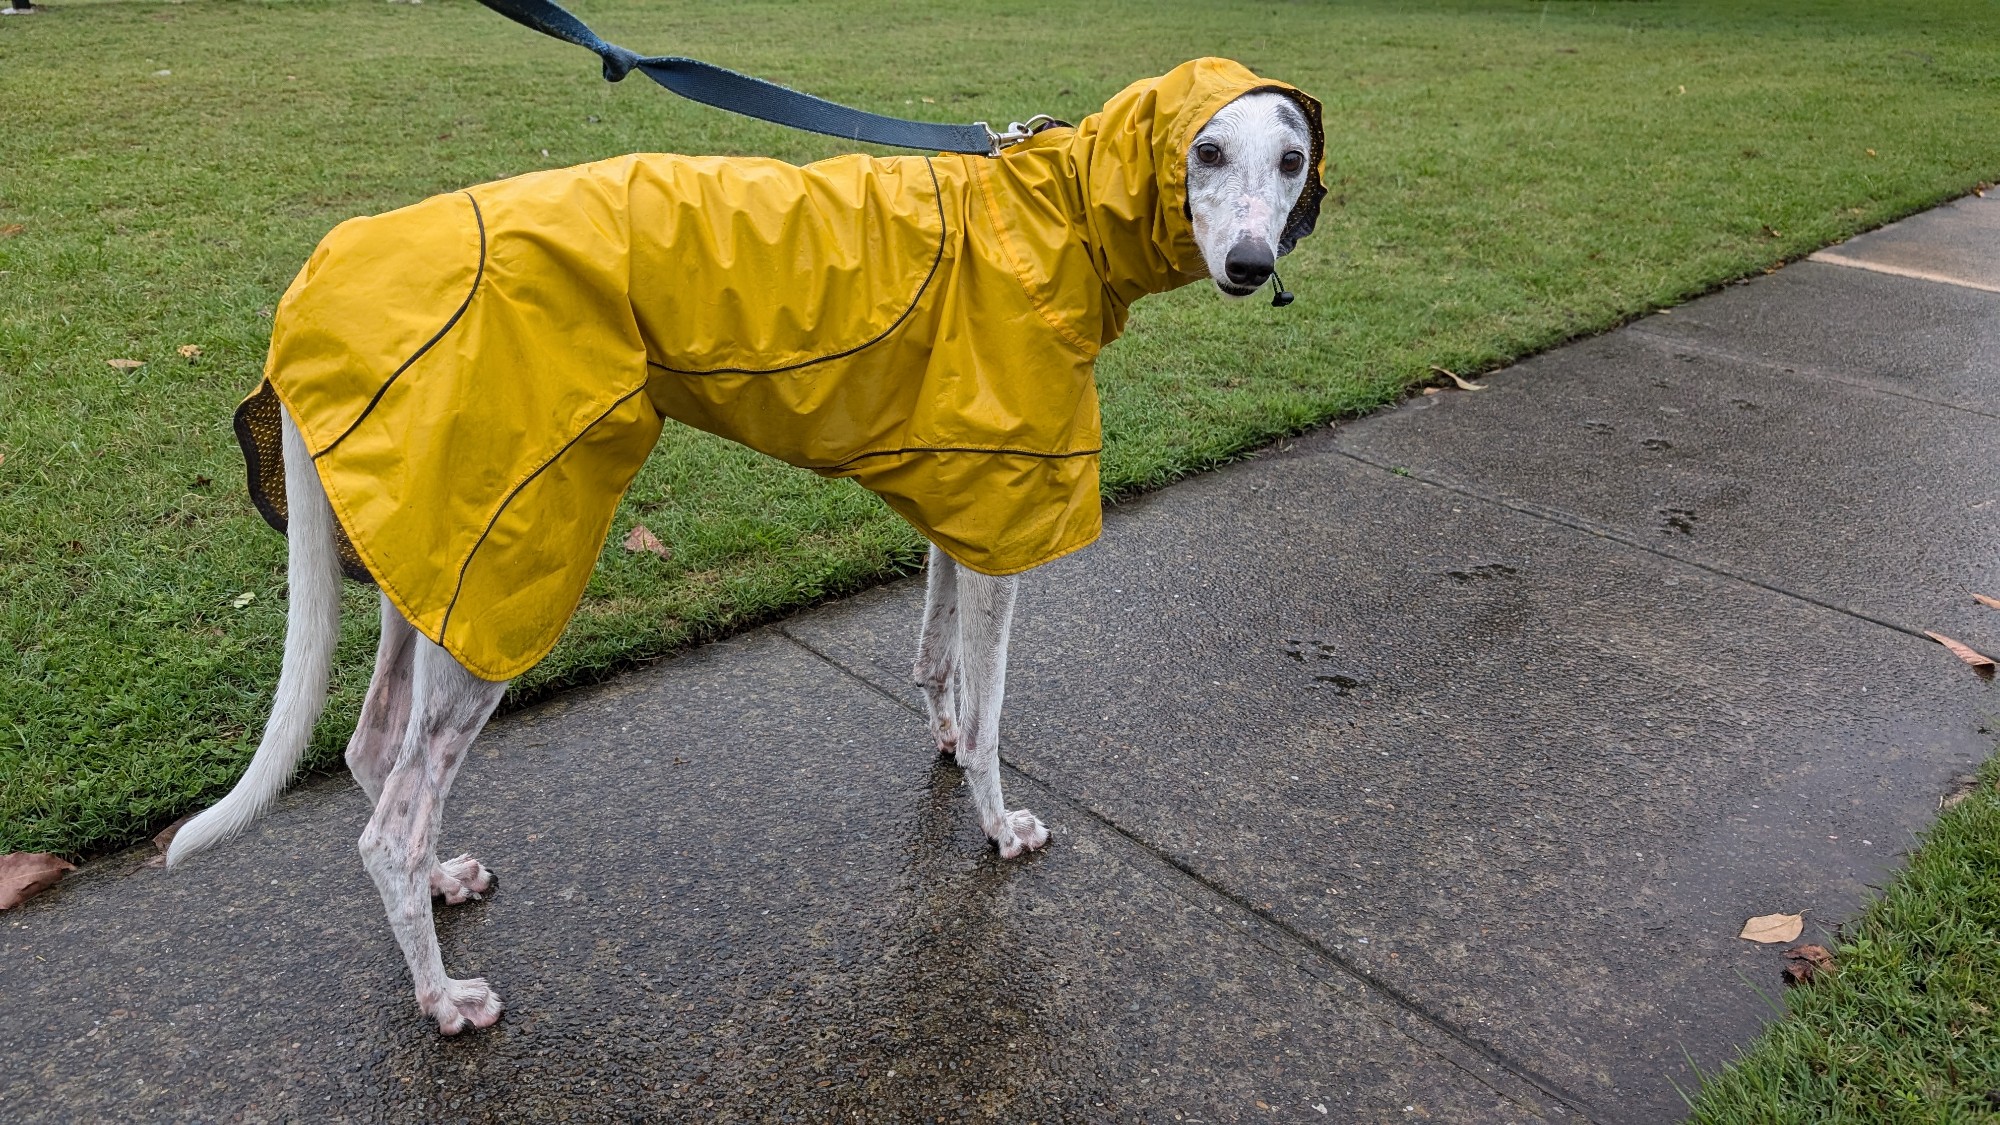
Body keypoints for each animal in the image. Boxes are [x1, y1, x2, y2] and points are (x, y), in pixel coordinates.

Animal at [167, 59, 1326, 1034]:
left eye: (1291, 160)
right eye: (1203, 152)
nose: (1249, 264)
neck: (1055, 220)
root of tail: (318, 295)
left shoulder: (965, 500)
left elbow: (935, 660)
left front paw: (947, 744)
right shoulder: (1005, 522)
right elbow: (995, 714)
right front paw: (998, 831)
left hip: (437, 567)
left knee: (372, 750)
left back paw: (441, 880)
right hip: (498, 573)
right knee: (388, 828)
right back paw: (442, 995)